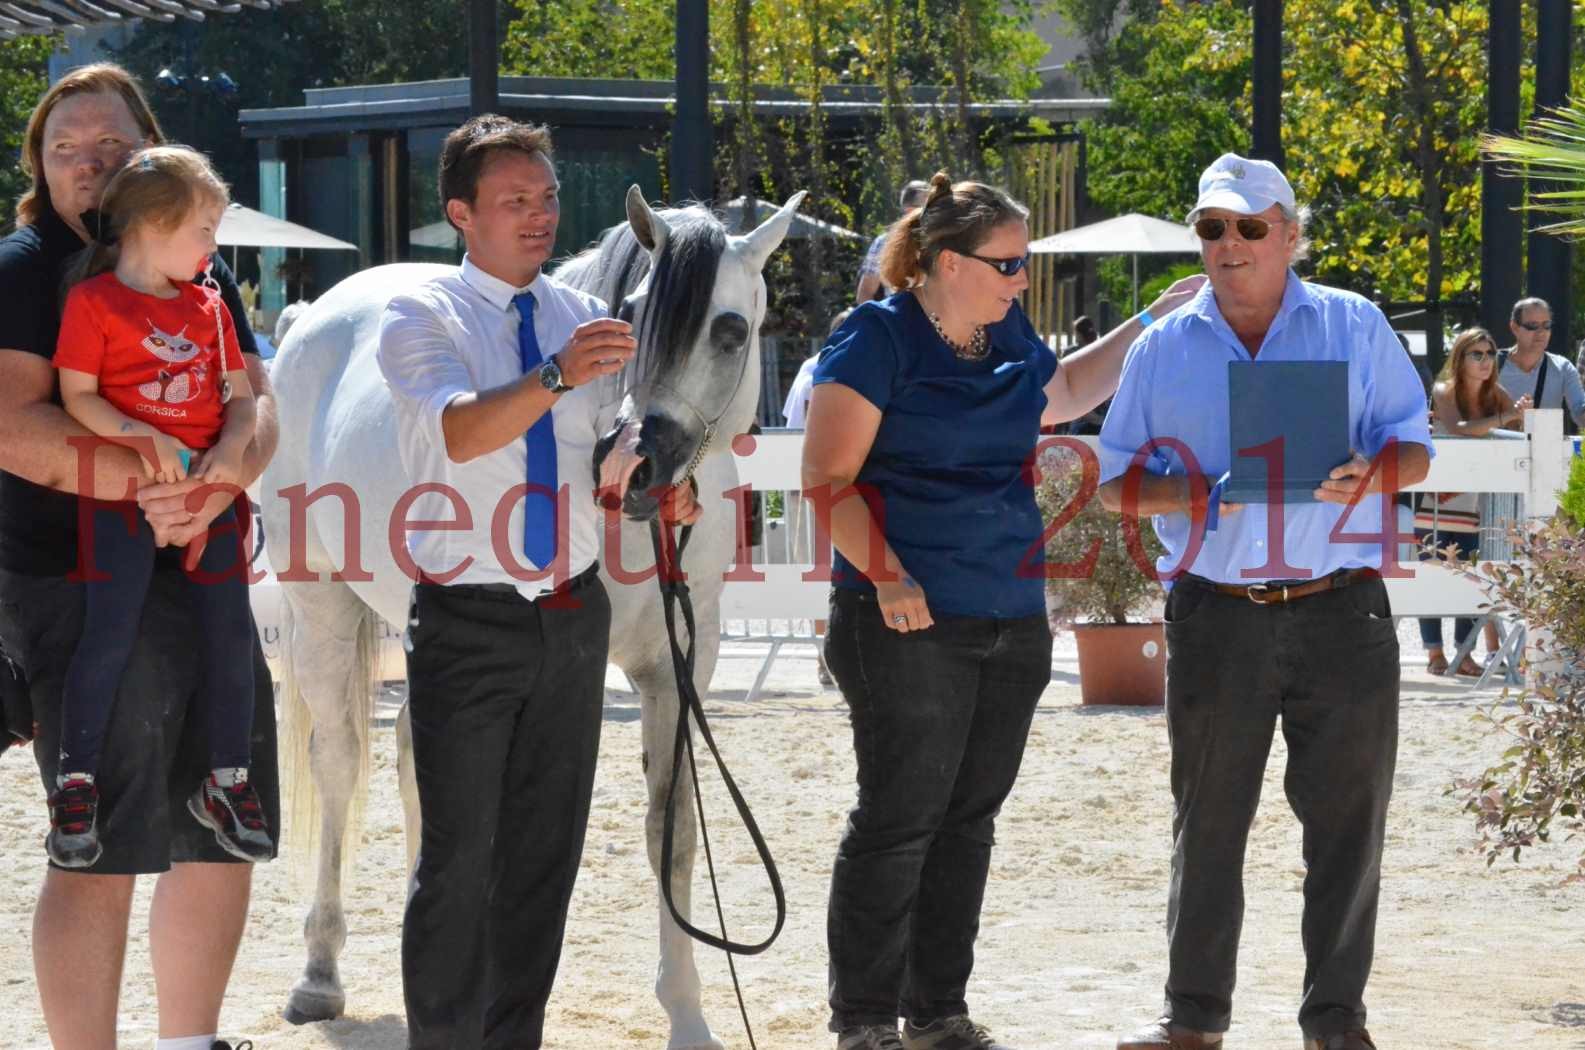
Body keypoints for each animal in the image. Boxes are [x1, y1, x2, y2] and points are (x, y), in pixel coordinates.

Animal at [263, 189, 805, 1050]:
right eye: (632, 314)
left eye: (729, 329)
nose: (634, 465)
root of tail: (313, 317)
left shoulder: (679, 665)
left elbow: (672, 830)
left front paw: (687, 1013)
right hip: (319, 601)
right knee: (341, 762)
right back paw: (319, 975)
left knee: (420, 759)